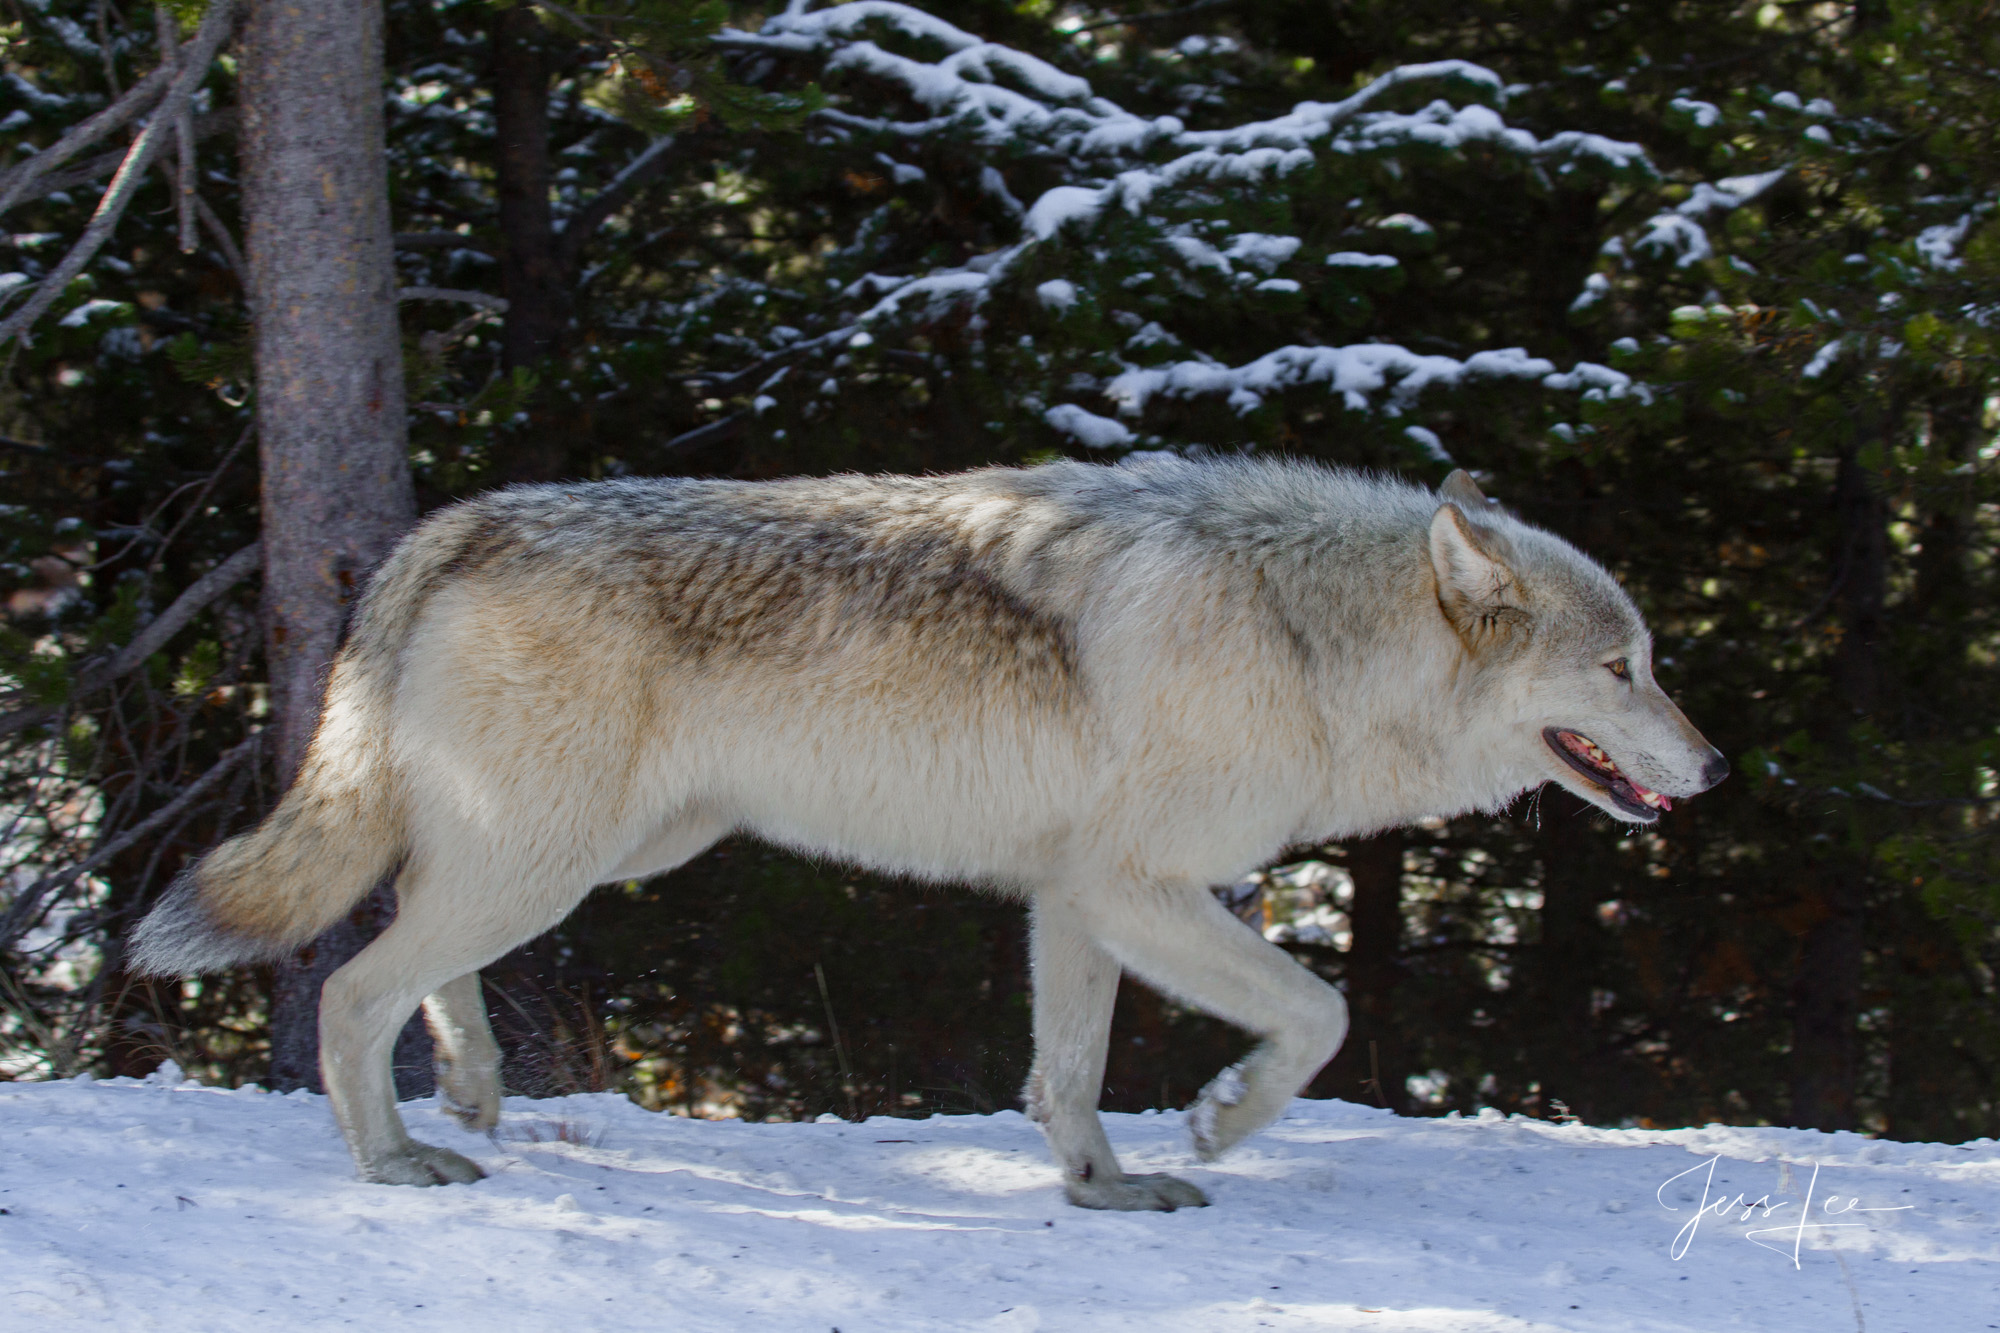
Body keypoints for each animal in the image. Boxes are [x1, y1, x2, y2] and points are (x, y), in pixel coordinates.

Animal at [129, 454, 1720, 1200]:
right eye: (1624, 666)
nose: (1710, 768)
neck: (1305, 638)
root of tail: (452, 523)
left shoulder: (1073, 901)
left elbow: (1066, 1078)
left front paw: (1104, 1189)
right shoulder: (1139, 888)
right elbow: (1317, 1017)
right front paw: (1218, 1121)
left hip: (597, 855)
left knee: (411, 936)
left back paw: (466, 1094)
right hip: (555, 859)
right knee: (349, 985)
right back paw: (396, 1160)